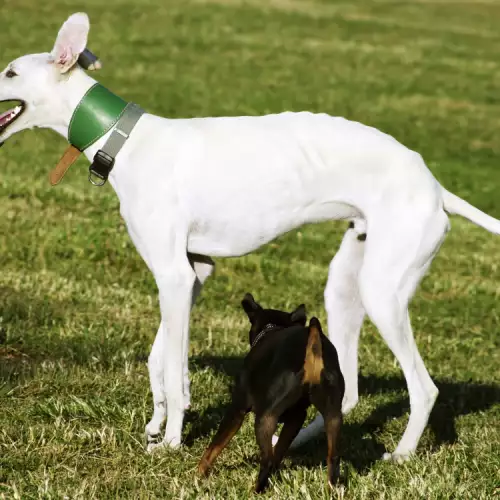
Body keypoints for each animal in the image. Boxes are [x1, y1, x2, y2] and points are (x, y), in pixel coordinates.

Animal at [198, 292, 344, 492]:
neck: (273, 328)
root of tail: (313, 349)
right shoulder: (296, 418)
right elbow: (280, 448)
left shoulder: (237, 410)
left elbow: (214, 447)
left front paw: (197, 475)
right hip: (333, 416)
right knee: (333, 457)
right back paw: (331, 488)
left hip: (265, 419)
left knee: (265, 459)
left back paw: (256, 490)